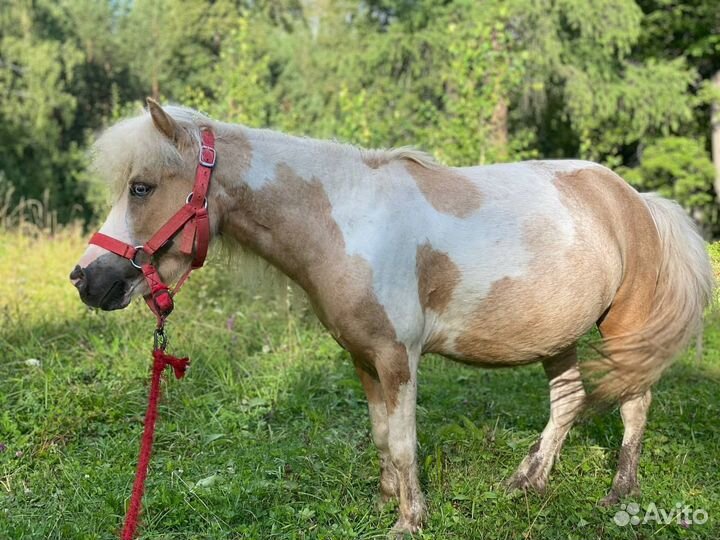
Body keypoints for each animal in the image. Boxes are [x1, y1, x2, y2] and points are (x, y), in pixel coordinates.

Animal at [71, 101, 716, 536]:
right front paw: (387, 500)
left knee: (633, 402)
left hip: (625, 327)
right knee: (568, 401)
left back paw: (619, 494)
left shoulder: (396, 356)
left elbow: (404, 440)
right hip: (556, 334)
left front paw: (410, 519)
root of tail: (635, 201)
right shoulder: (361, 355)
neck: (347, 222)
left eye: (141, 186)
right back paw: (526, 481)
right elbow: (382, 433)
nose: (87, 279)